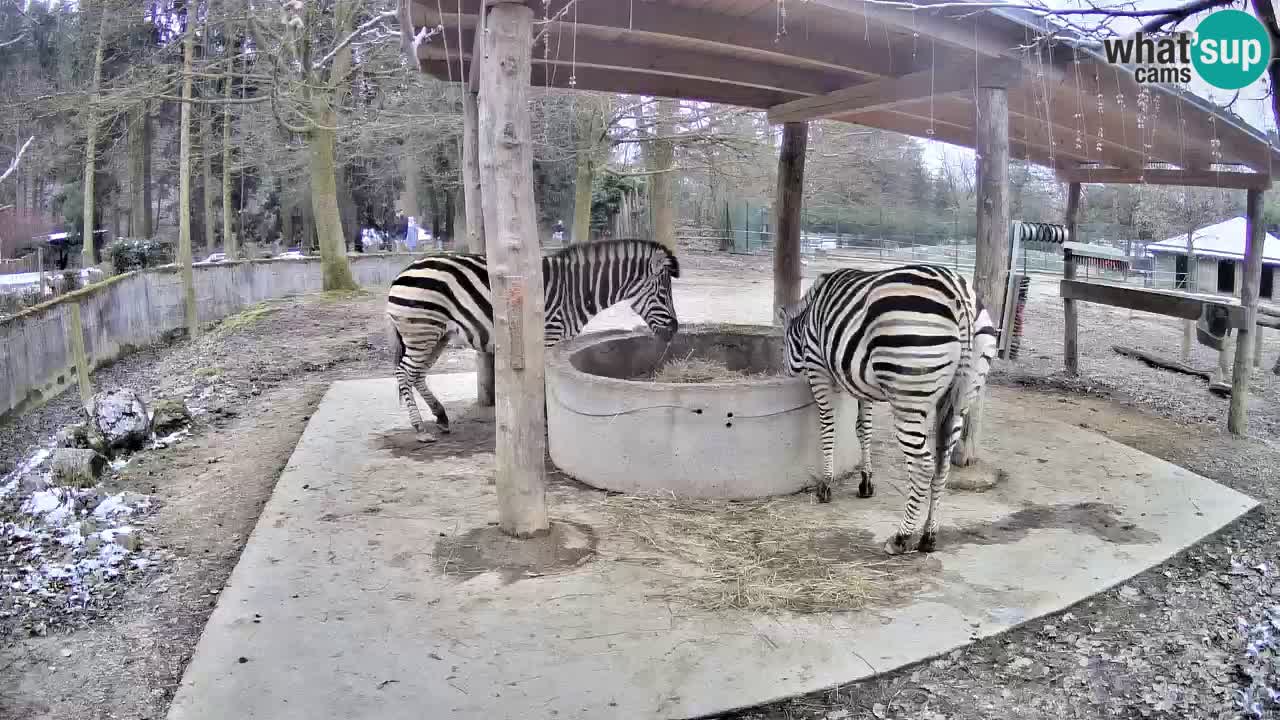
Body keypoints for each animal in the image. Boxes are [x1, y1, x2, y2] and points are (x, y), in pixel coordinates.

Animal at [384, 238, 680, 440]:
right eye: (664, 294)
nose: (675, 329)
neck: (575, 291)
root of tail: (404, 270)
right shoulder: (548, 337)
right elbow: (544, 381)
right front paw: (545, 422)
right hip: (422, 331)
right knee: (404, 373)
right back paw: (419, 428)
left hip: (437, 335)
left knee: (417, 375)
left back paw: (441, 417)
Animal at [773, 263, 1003, 556]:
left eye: (783, 345)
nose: (785, 373)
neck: (807, 323)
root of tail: (959, 294)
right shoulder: (859, 381)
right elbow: (864, 430)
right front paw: (866, 483)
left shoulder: (818, 368)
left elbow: (828, 426)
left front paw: (826, 484)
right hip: (961, 397)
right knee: (942, 464)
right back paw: (928, 536)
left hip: (908, 397)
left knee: (923, 465)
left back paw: (901, 537)